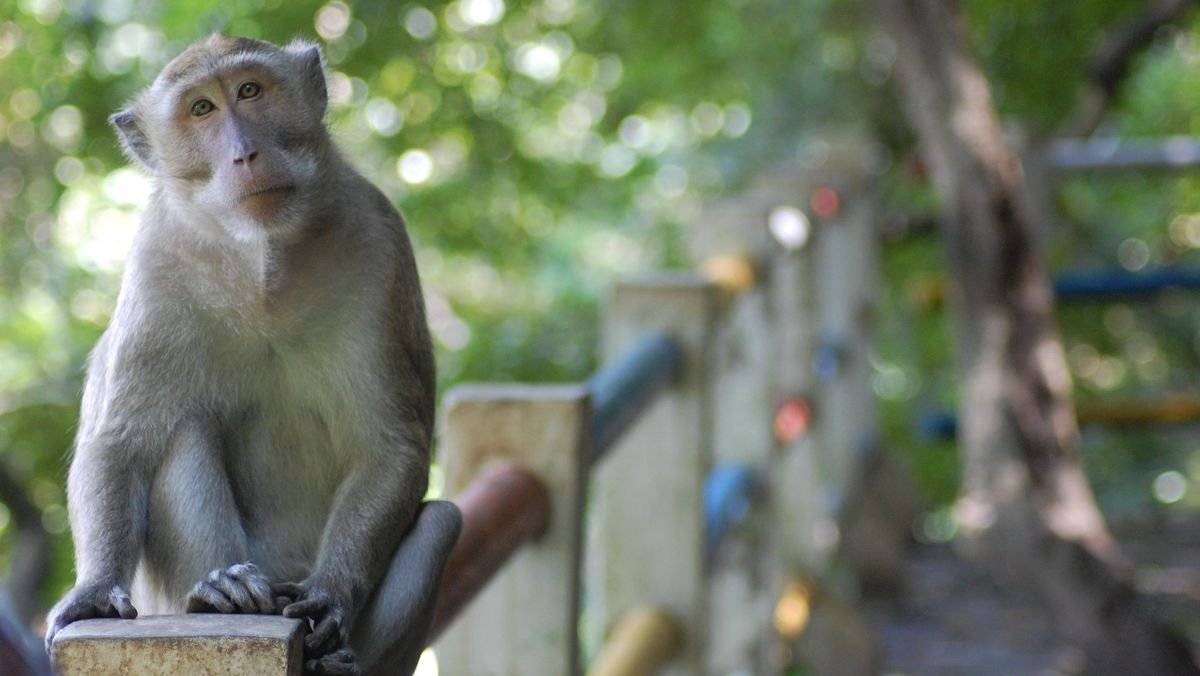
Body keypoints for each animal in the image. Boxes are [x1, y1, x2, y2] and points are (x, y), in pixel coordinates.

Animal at [44, 37, 460, 676]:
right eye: (201, 109)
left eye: (249, 91)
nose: (245, 153)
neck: (263, 263)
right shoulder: (157, 262)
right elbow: (119, 442)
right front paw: (91, 592)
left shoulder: (380, 243)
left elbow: (389, 446)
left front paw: (330, 595)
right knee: (181, 431)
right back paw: (221, 593)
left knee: (440, 523)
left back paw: (334, 659)